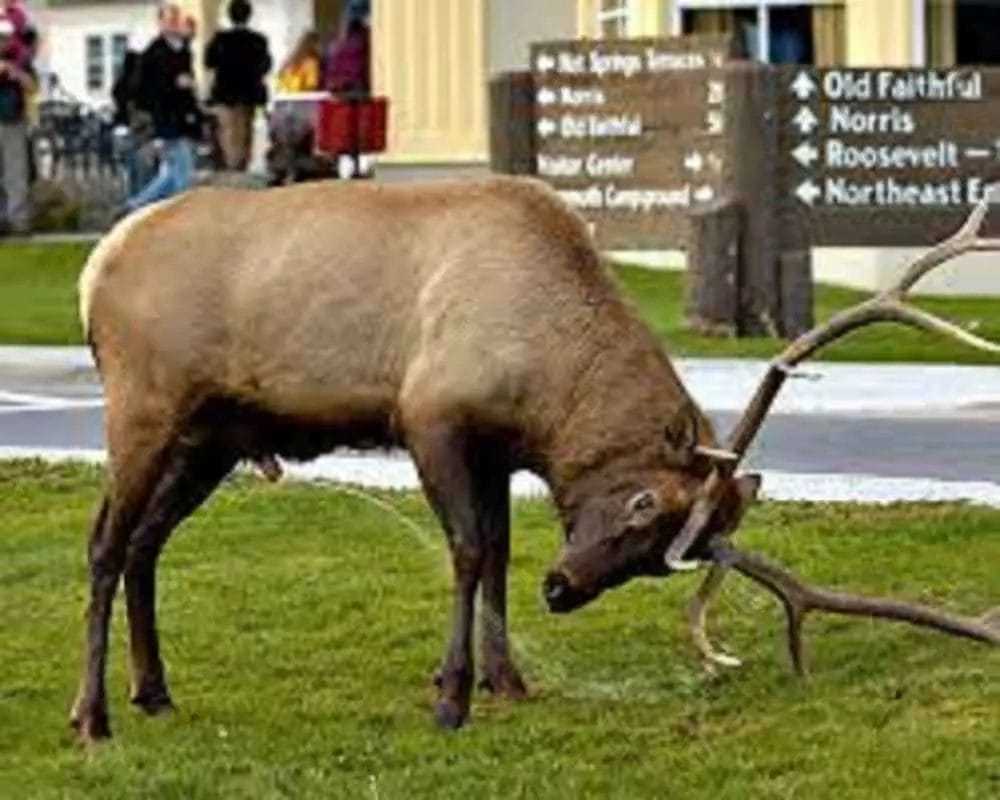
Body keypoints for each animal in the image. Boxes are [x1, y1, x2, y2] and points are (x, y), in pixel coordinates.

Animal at [71, 176, 998, 743]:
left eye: (667, 560)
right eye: (643, 507)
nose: (565, 589)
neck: (550, 380)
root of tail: (95, 265)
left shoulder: (496, 450)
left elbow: (498, 555)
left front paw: (506, 680)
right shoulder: (431, 416)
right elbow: (467, 551)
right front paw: (450, 697)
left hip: (213, 436)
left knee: (147, 545)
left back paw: (154, 692)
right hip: (143, 406)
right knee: (107, 543)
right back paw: (92, 716)